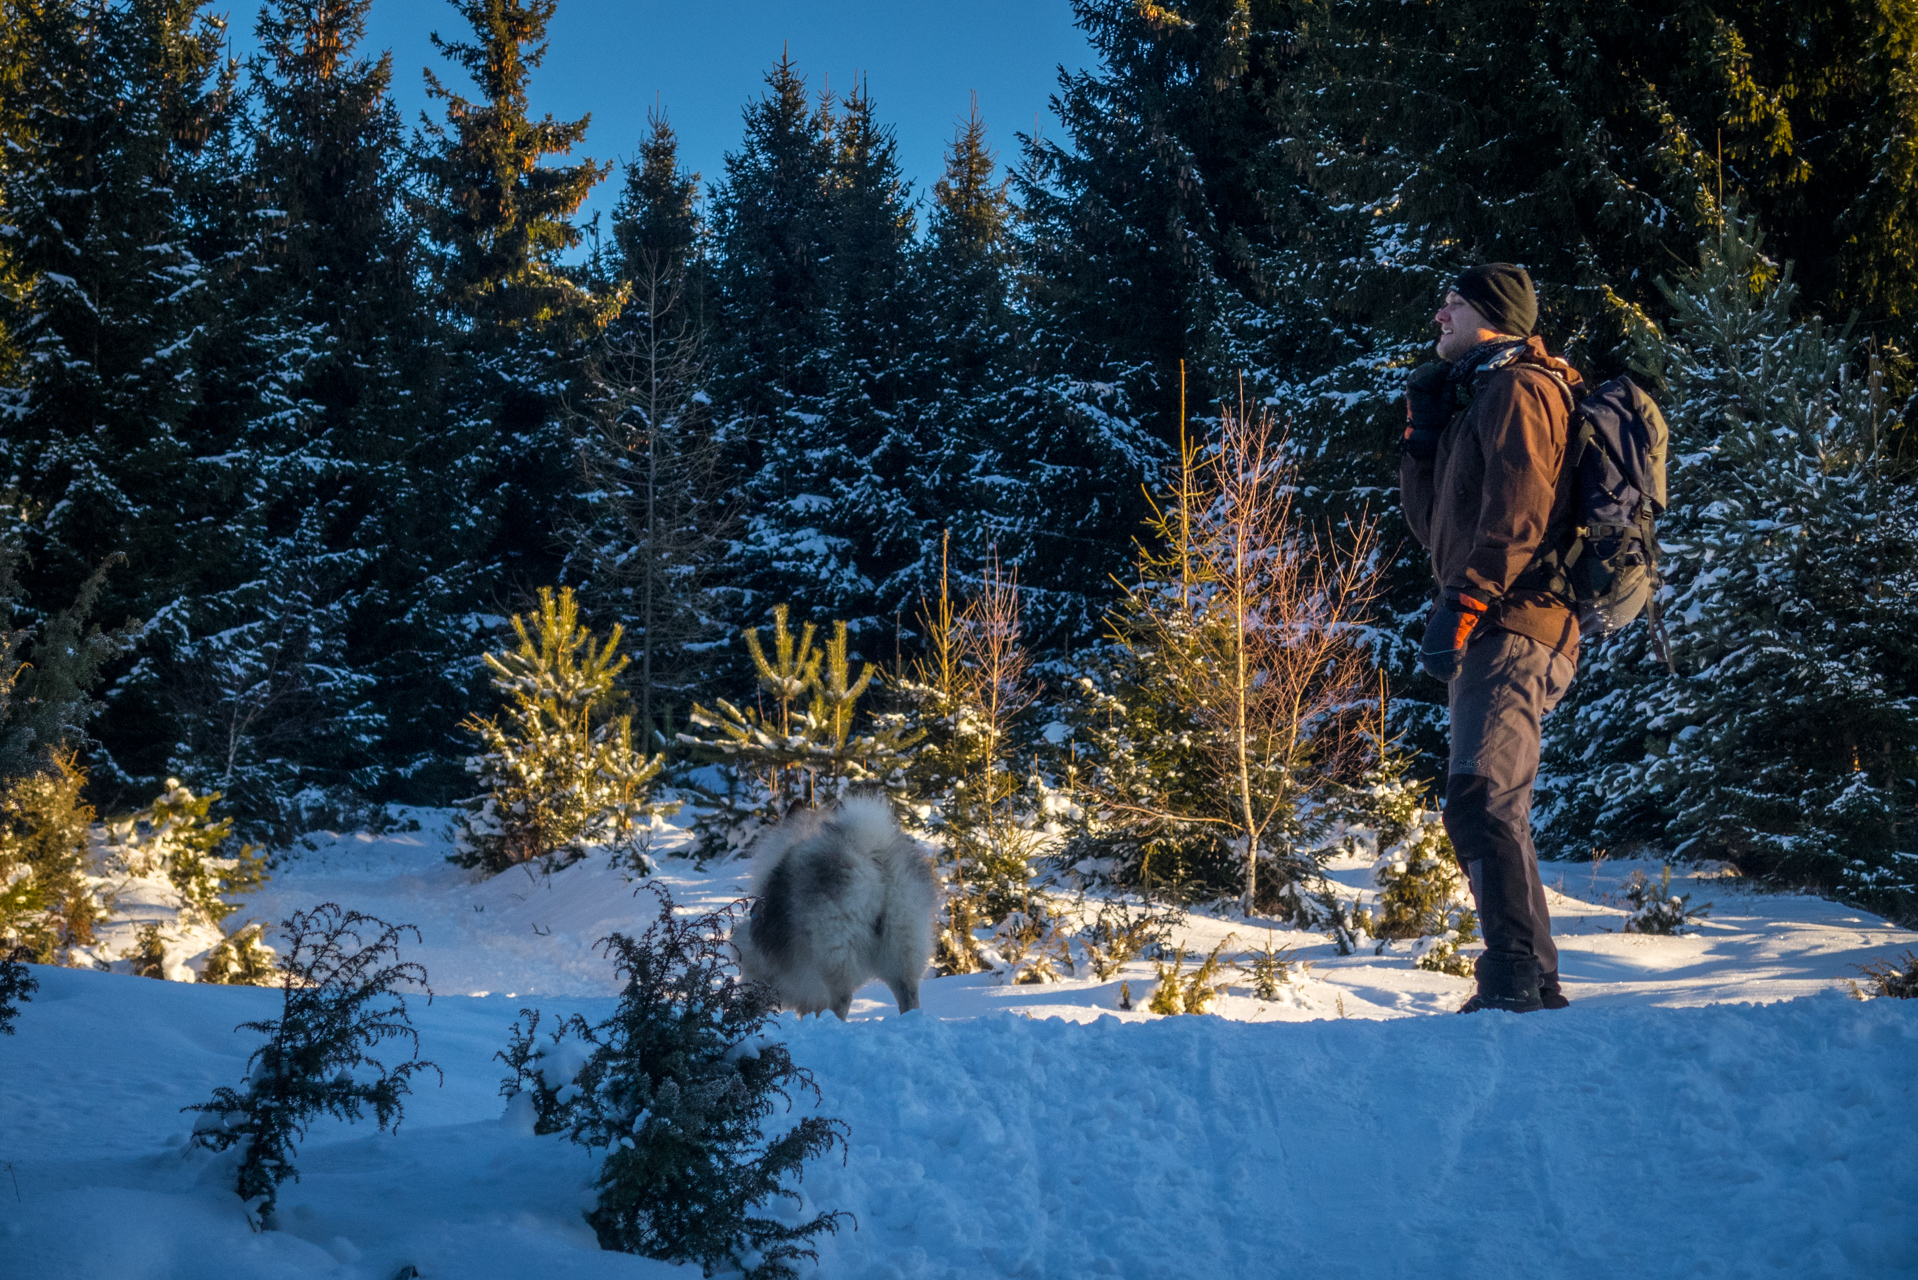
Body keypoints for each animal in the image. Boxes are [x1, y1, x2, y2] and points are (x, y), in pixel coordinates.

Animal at [732, 802, 935, 1020]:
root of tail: (868, 851)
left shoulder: (759, 964)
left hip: (834, 953)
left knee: (842, 999)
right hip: (903, 951)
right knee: (908, 995)